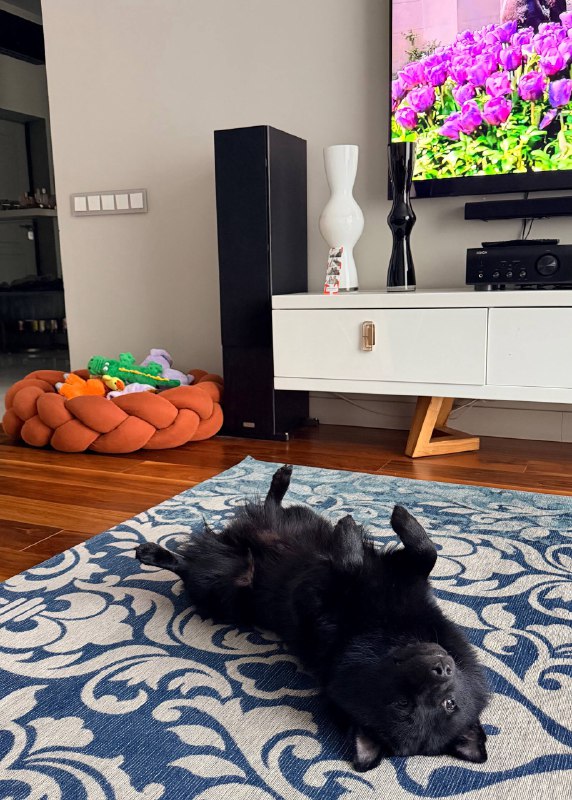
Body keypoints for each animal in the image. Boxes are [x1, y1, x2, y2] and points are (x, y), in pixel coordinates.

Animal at [135, 464, 489, 771]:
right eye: (403, 704)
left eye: (447, 705)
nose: (443, 668)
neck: (385, 630)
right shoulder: (396, 577)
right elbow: (425, 550)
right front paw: (378, 523)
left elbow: (362, 564)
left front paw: (351, 538)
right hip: (254, 553)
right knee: (248, 524)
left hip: (224, 584)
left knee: (189, 568)